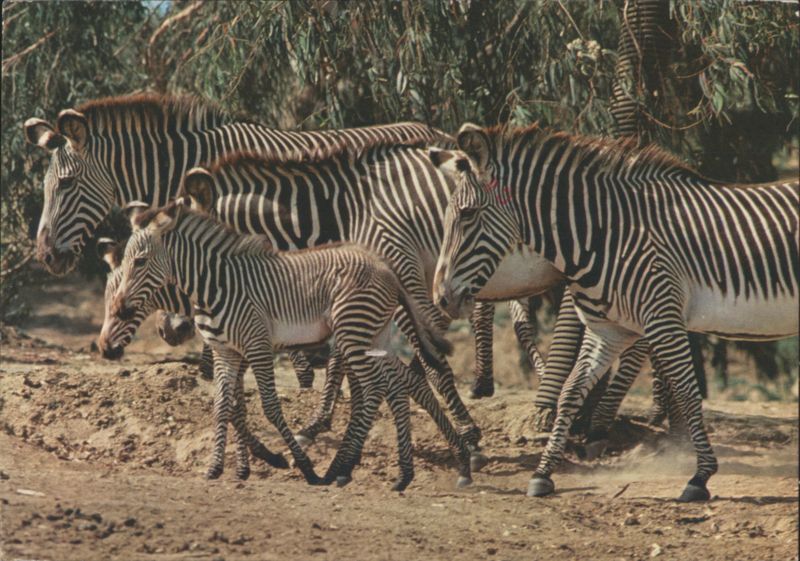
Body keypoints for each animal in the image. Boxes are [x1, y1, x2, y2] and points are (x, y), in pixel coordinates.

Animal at [96, 236, 290, 479]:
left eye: (119, 306)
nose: (104, 349)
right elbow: (234, 406)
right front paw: (246, 466)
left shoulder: (247, 346)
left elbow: (234, 405)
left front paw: (267, 457)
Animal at [432, 123, 799, 501]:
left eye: (467, 215)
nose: (440, 298)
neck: (607, 234)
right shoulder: (606, 331)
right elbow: (570, 392)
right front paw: (543, 474)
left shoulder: (663, 317)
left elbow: (687, 391)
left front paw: (700, 477)